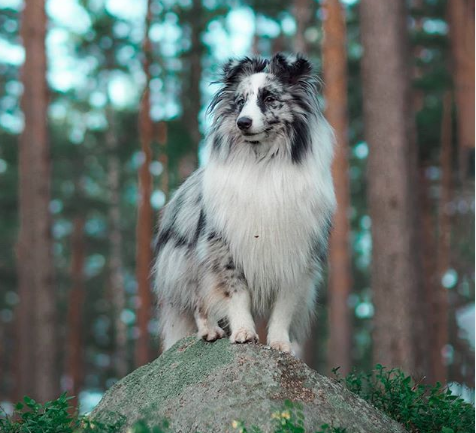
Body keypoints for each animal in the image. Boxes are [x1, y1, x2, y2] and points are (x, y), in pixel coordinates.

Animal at [153, 53, 334, 354]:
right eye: (240, 101)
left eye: (269, 98)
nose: (243, 122)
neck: (262, 162)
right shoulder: (223, 248)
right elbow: (236, 293)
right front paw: (243, 333)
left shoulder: (296, 254)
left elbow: (284, 305)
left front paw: (281, 343)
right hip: (187, 262)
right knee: (197, 299)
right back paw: (210, 330)